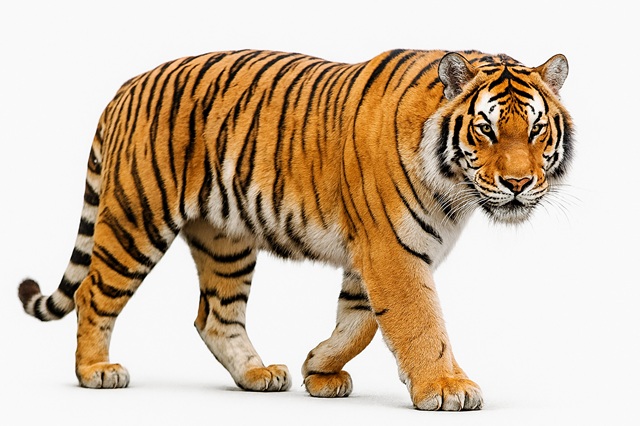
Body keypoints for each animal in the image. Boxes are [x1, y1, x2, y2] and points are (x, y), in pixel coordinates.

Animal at [17, 48, 573, 411]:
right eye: (486, 129)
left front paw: (318, 367)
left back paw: (257, 375)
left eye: (537, 129)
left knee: (215, 316)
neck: (454, 187)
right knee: (93, 293)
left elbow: (361, 321)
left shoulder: (373, 253)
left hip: (225, 239)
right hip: (137, 219)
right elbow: (419, 322)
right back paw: (96, 371)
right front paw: (446, 386)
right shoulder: (391, 251)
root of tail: (127, 85)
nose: (519, 184)